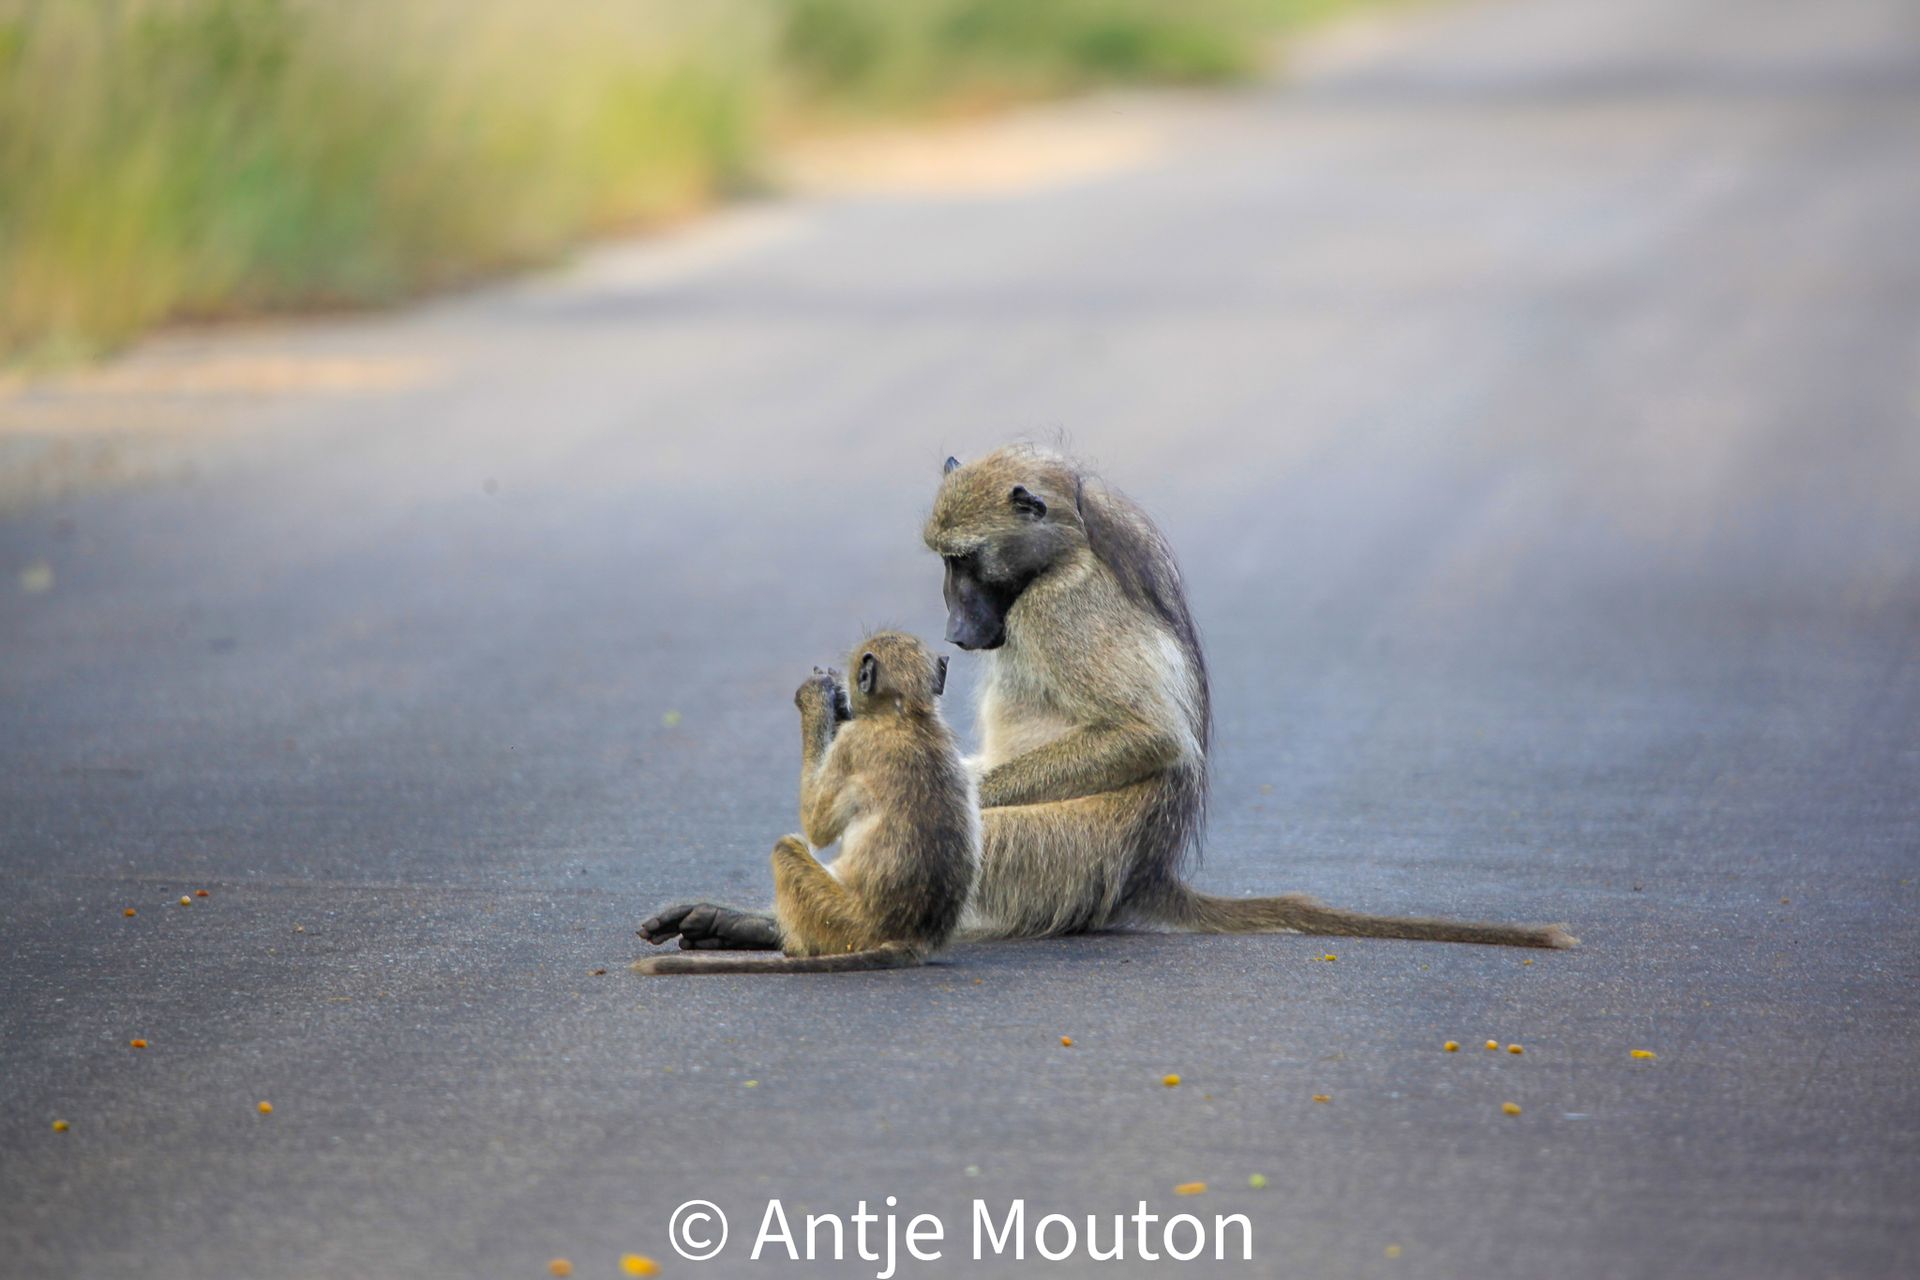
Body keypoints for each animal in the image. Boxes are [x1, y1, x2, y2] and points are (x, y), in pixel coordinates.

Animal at [635, 630, 979, 973]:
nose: (845, 695)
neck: (906, 714)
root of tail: (911, 938)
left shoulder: (851, 743)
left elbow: (817, 827)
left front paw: (815, 695)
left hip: (842, 922)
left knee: (786, 847)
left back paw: (796, 947)